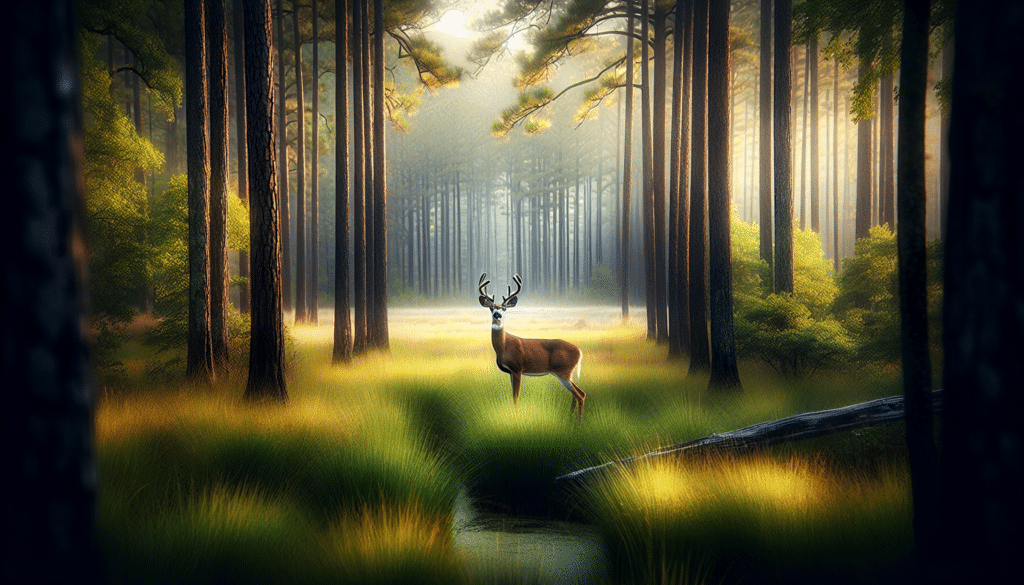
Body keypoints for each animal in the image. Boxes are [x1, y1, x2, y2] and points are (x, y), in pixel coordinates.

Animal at [478, 273, 586, 421]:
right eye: (490, 307)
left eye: (504, 308)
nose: (497, 315)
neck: (503, 347)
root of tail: (580, 351)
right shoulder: (510, 372)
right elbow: (513, 396)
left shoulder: (517, 368)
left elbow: (516, 397)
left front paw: (516, 416)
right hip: (568, 373)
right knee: (579, 393)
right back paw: (571, 419)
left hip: (563, 371)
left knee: (579, 395)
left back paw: (579, 422)